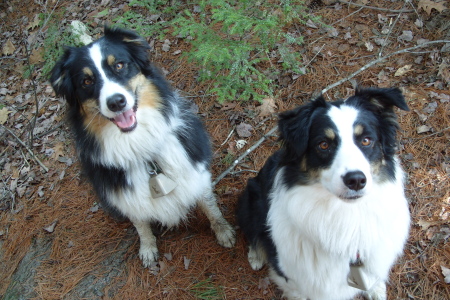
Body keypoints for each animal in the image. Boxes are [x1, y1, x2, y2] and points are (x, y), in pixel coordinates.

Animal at [50, 27, 236, 266]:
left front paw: (223, 231)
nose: (116, 102)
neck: (138, 145)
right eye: (86, 81)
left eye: (119, 65)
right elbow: (141, 225)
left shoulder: (196, 174)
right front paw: (147, 248)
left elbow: (210, 207)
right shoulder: (127, 198)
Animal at [239, 87, 412, 300]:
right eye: (323, 144)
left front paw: (375, 288)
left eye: (366, 140)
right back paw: (256, 255)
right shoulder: (291, 275)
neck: (346, 217)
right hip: (250, 198)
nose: (356, 180)